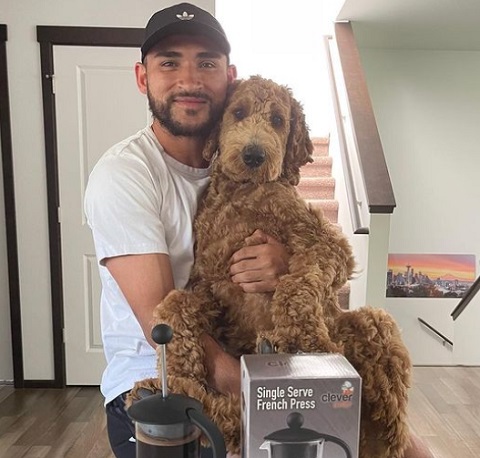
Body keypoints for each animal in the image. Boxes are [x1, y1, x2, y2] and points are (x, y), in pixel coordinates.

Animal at [130, 76, 412, 458]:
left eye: (278, 120)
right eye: (237, 112)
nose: (253, 155)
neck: (243, 194)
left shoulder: (328, 245)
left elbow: (297, 283)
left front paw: (304, 338)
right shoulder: (212, 285)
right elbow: (174, 304)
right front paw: (178, 367)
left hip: (375, 324)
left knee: (386, 427)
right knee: (238, 421)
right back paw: (171, 391)